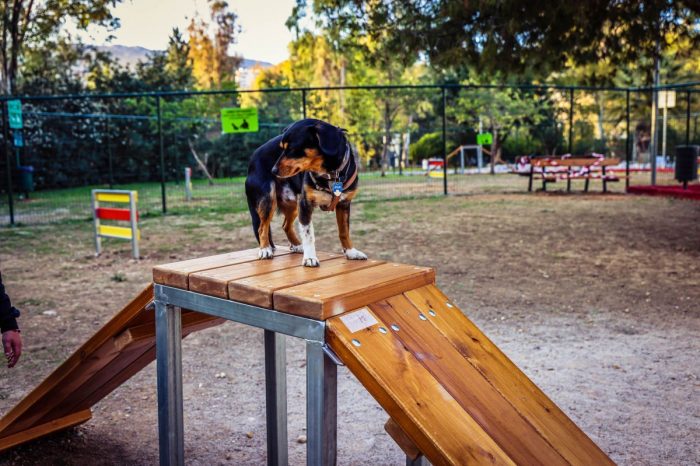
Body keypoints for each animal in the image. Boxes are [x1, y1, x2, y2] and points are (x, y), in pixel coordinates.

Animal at [245, 118, 366, 268]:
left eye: (291, 149)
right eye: (282, 148)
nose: (273, 170)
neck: (330, 174)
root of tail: (252, 159)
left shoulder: (344, 204)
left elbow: (344, 231)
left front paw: (351, 252)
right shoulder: (305, 205)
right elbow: (308, 234)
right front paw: (310, 258)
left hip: (292, 204)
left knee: (285, 225)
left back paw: (297, 245)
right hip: (268, 200)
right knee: (262, 228)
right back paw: (265, 249)